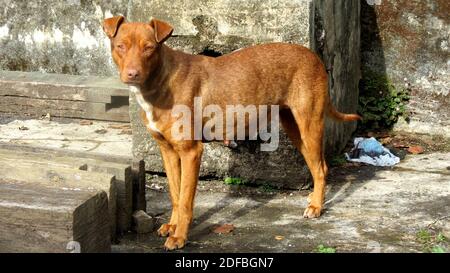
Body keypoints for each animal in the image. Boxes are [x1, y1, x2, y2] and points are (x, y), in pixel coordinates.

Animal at [103, 16, 360, 249]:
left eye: (148, 48)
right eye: (120, 46)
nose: (132, 74)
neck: (161, 81)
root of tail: (313, 55)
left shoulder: (191, 152)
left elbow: (185, 201)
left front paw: (180, 237)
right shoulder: (168, 151)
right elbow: (175, 195)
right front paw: (172, 226)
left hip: (309, 124)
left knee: (321, 168)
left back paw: (317, 206)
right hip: (294, 127)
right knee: (317, 167)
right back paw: (314, 199)